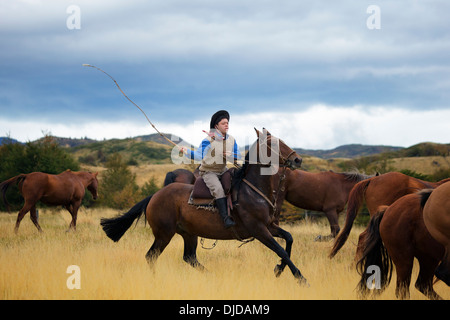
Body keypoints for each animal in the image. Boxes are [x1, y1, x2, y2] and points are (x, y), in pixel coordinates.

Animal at [100, 129, 308, 284]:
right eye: (274, 144)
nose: (297, 159)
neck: (252, 189)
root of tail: (155, 195)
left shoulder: (269, 227)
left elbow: (289, 239)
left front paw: (279, 269)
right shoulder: (259, 230)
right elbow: (281, 250)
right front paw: (300, 277)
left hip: (189, 234)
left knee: (189, 258)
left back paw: (212, 277)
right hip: (164, 234)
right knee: (151, 256)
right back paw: (156, 280)